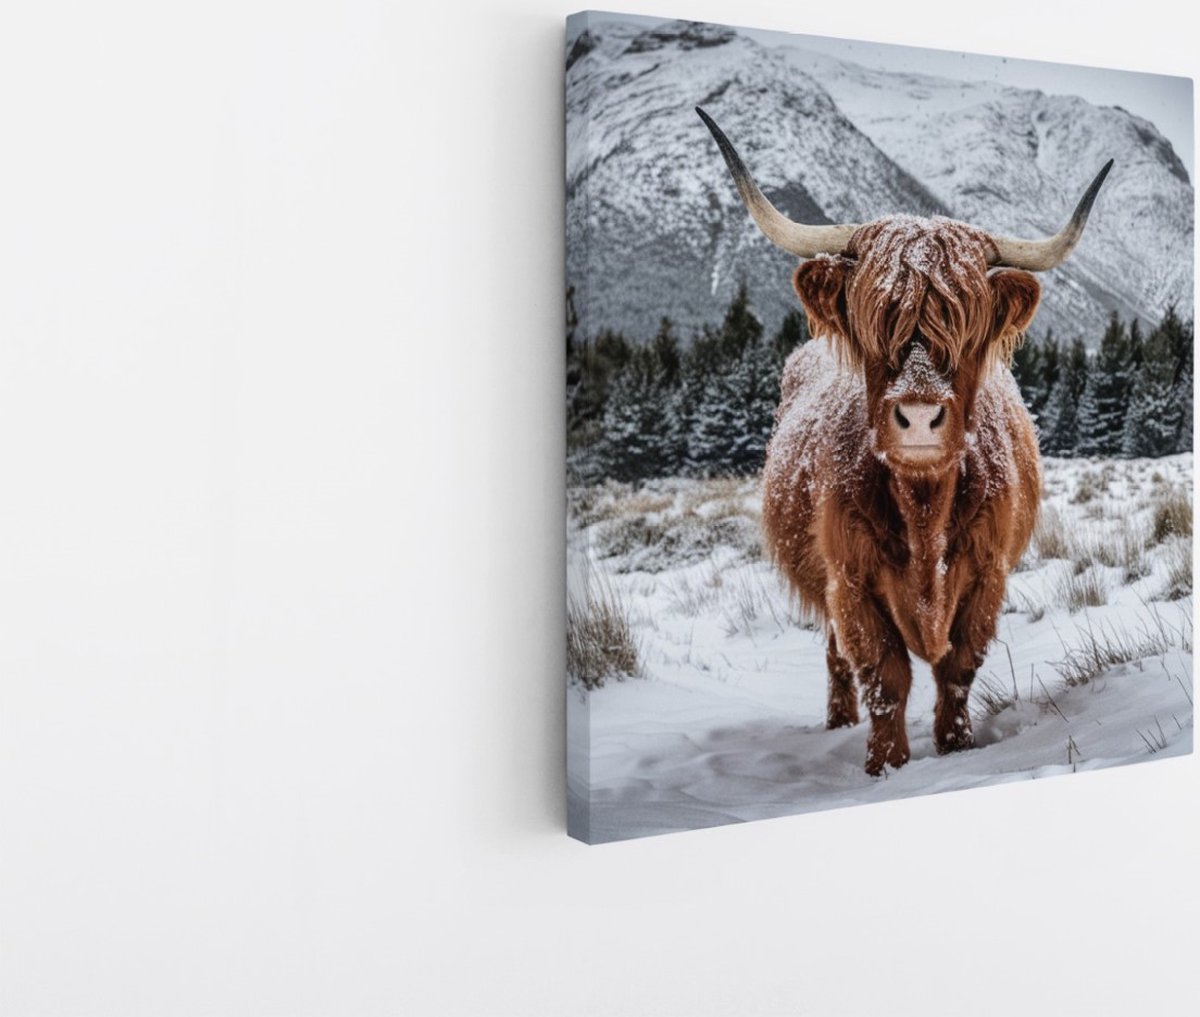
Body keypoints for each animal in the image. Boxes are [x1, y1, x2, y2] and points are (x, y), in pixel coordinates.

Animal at [696, 106, 1111, 775]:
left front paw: (956, 746)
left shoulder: (987, 574)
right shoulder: (851, 580)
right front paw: (884, 766)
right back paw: (838, 722)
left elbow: (958, 668)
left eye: (968, 328)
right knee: (836, 656)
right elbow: (883, 676)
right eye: (874, 323)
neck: (923, 510)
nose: (918, 417)